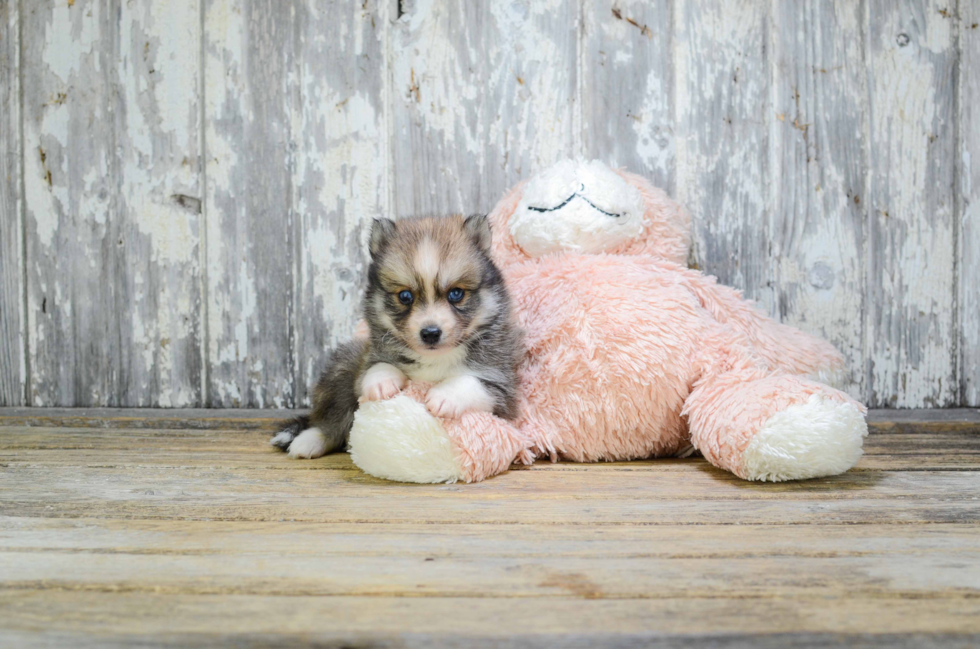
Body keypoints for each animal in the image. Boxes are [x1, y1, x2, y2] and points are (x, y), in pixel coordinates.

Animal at [270, 215, 520, 458]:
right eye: (405, 296)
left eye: (456, 293)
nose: (430, 333)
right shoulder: (368, 361)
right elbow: (376, 367)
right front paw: (381, 381)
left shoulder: (503, 390)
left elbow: (473, 381)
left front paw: (445, 396)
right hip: (342, 368)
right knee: (332, 420)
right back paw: (309, 440)